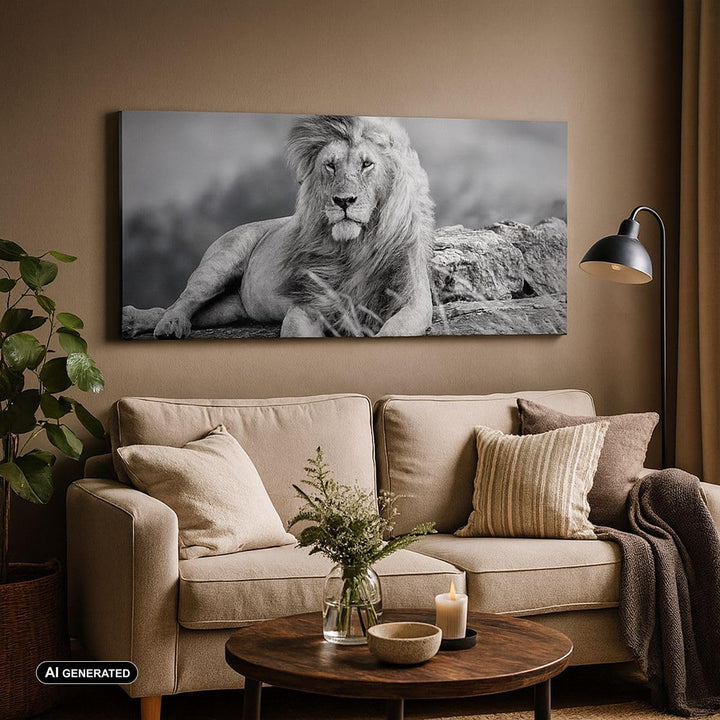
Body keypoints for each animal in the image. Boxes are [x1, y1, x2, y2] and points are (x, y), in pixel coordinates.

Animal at [122, 115, 435, 339]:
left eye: (367, 164)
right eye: (330, 165)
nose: (343, 201)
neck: (356, 245)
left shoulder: (414, 303)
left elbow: (393, 330)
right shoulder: (308, 304)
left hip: (230, 308)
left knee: (188, 311)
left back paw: (137, 320)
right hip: (219, 263)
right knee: (183, 300)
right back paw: (166, 324)